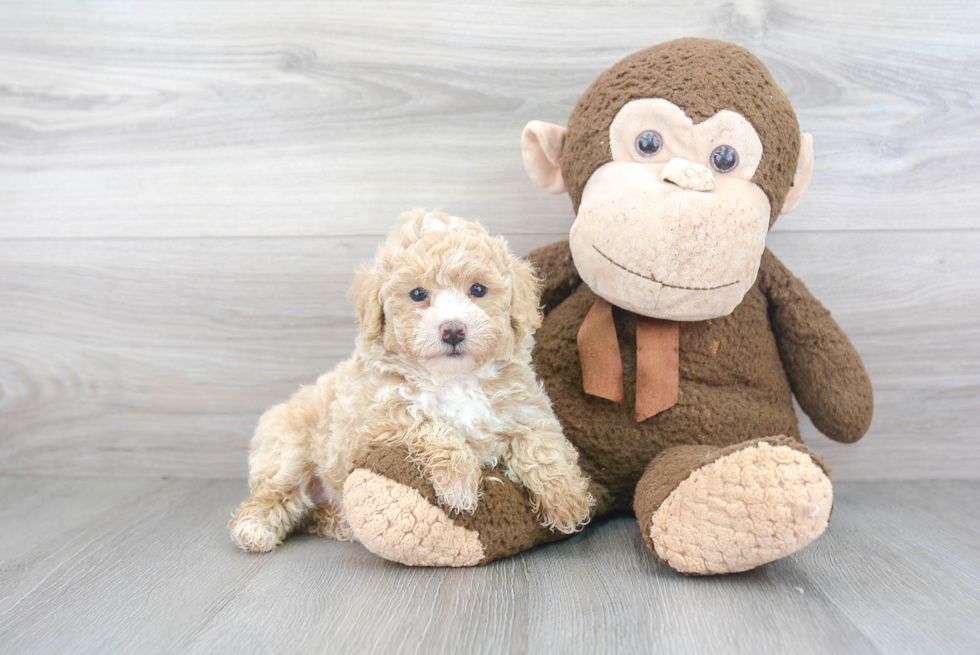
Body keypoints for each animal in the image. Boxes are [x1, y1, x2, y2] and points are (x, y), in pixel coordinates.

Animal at [233, 209, 592, 552]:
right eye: (418, 294)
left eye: (478, 289)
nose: (453, 330)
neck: (455, 379)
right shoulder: (370, 423)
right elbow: (430, 426)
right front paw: (460, 484)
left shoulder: (525, 409)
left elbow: (541, 445)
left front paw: (567, 499)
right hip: (288, 453)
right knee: (272, 497)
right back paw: (253, 529)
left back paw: (341, 523)